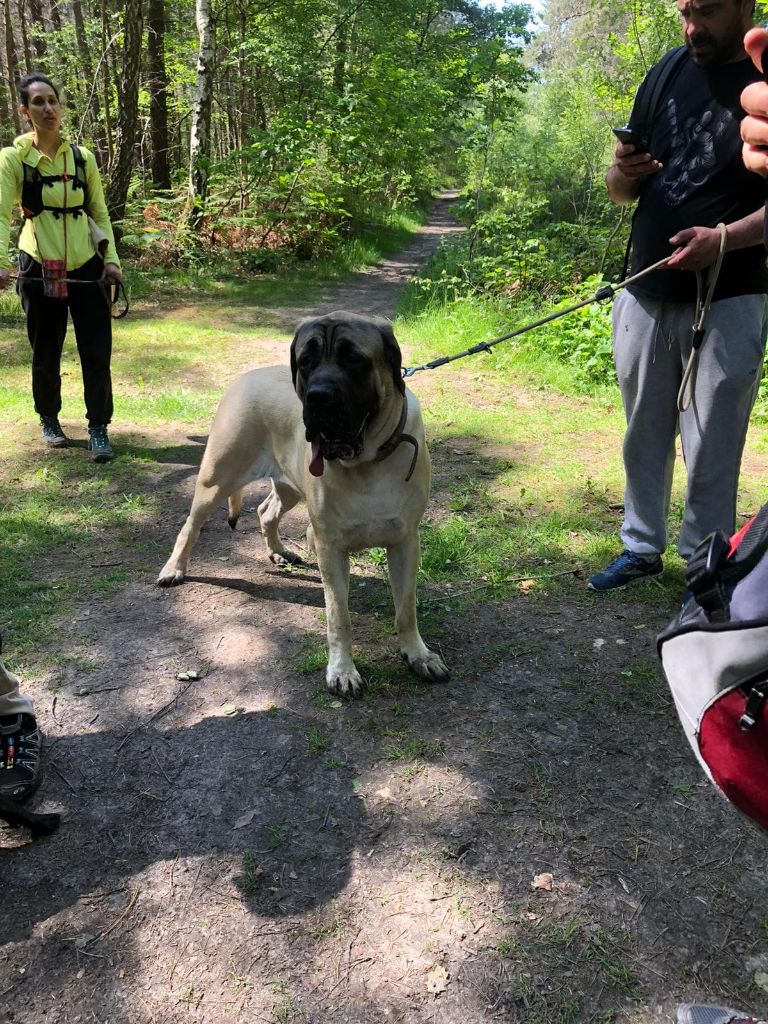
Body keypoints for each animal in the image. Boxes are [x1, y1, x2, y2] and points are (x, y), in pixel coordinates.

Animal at [158, 311, 449, 696]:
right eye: (306, 361)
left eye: (353, 358)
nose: (317, 398)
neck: (367, 461)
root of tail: (245, 378)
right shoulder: (331, 547)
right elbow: (338, 616)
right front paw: (342, 670)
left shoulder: (405, 542)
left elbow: (406, 607)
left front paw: (418, 654)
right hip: (217, 477)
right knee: (191, 526)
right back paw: (173, 569)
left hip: (289, 486)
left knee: (266, 510)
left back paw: (280, 551)